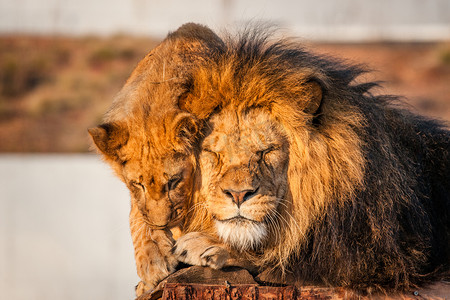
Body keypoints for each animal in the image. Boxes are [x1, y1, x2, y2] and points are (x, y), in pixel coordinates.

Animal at [174, 27, 450, 292]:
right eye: (214, 153)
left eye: (267, 151)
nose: (239, 194)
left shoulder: (386, 256)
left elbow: (282, 255)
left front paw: (204, 244)